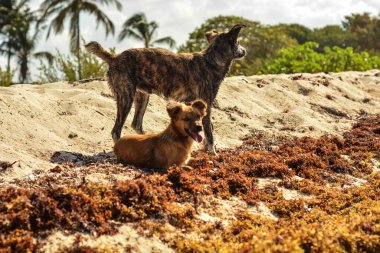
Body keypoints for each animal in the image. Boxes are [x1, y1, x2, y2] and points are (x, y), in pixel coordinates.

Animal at [85, 24, 246, 155]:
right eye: (238, 42)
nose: (244, 51)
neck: (211, 60)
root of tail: (115, 57)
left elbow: (206, 132)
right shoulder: (207, 106)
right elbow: (210, 133)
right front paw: (213, 154)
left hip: (142, 98)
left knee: (136, 124)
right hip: (126, 99)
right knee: (116, 131)